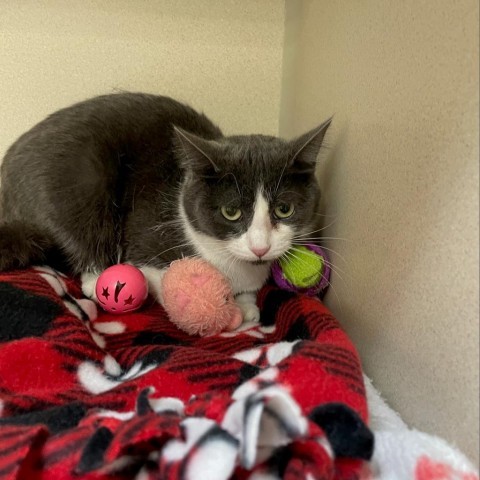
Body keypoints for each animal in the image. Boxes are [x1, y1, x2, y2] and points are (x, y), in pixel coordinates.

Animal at [0, 92, 330, 320]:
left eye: (284, 209)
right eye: (231, 212)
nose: (260, 248)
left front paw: (246, 306)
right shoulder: (147, 237)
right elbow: (160, 277)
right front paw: (227, 310)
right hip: (82, 181)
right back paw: (96, 278)